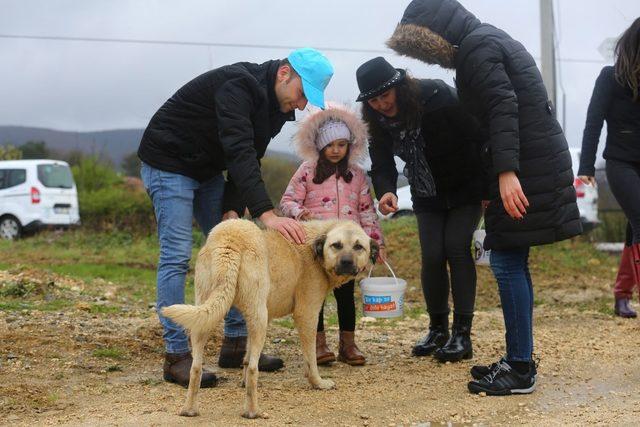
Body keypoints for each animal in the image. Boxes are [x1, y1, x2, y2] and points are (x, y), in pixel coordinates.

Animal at [162, 219, 378, 420]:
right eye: (336, 245)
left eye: (359, 247)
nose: (347, 263)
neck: (315, 248)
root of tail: (229, 239)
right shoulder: (307, 314)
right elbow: (310, 359)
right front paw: (318, 382)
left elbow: (246, 357)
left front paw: (243, 383)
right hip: (259, 318)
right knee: (254, 369)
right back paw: (252, 412)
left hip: (206, 318)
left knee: (196, 367)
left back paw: (189, 409)